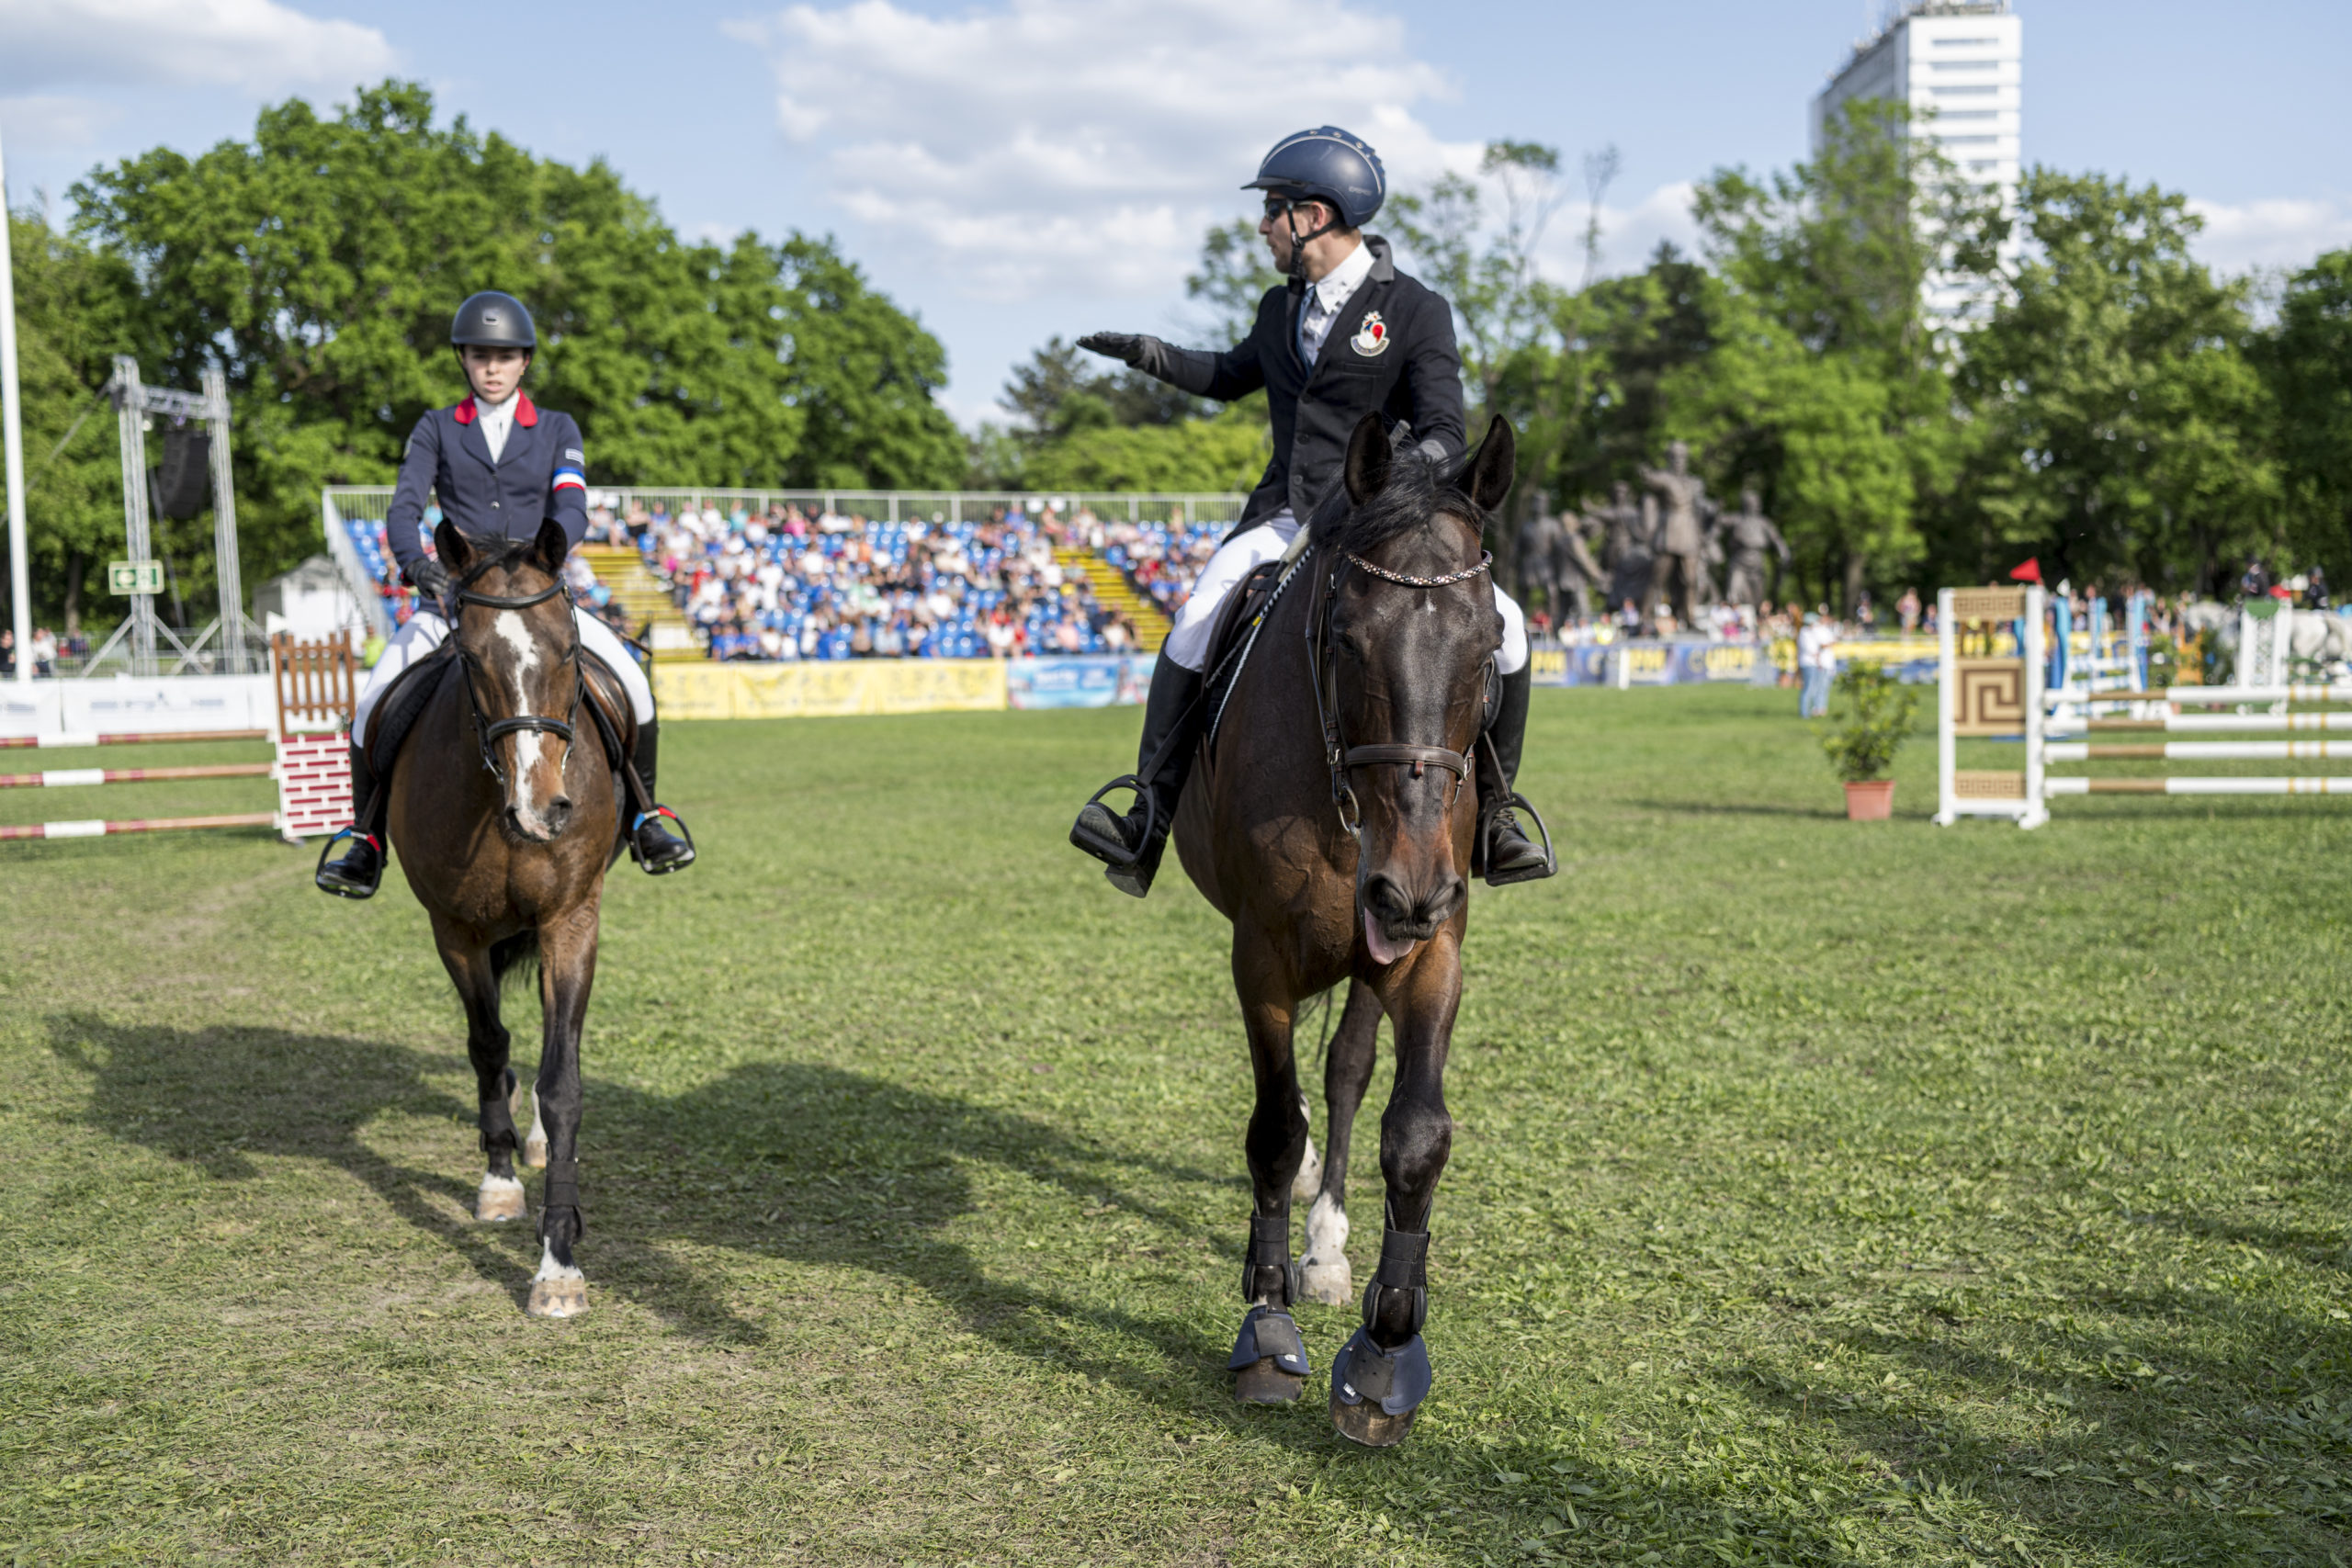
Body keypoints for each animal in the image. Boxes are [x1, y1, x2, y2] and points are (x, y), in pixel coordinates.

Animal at [383, 520, 626, 1319]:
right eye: (470, 656)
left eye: (570, 648)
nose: (543, 808)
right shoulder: (454, 929)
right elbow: (488, 1045)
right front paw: (498, 1180)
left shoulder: (571, 921)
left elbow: (563, 1082)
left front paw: (559, 1262)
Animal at [1172, 411, 1517, 1447]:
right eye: (1348, 638)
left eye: (1490, 643)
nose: (1408, 889)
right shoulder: (1262, 957)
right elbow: (1273, 1132)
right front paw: (1267, 1327)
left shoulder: (1432, 949)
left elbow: (1415, 1132)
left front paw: (1385, 1352)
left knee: (1347, 1071)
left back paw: (1326, 1243)